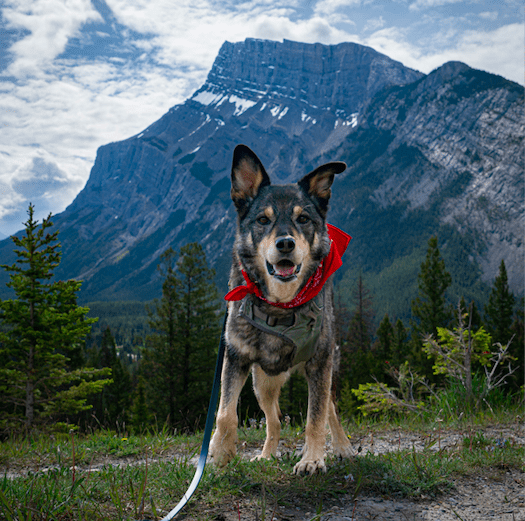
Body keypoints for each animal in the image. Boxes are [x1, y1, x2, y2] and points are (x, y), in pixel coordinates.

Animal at [209, 144, 352, 474]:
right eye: (263, 220)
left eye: (303, 219)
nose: (285, 243)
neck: (281, 304)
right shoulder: (235, 357)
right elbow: (225, 412)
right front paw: (220, 452)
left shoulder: (320, 363)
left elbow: (316, 418)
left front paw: (312, 459)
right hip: (262, 382)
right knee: (273, 420)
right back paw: (266, 454)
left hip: (326, 370)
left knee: (331, 411)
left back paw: (342, 448)